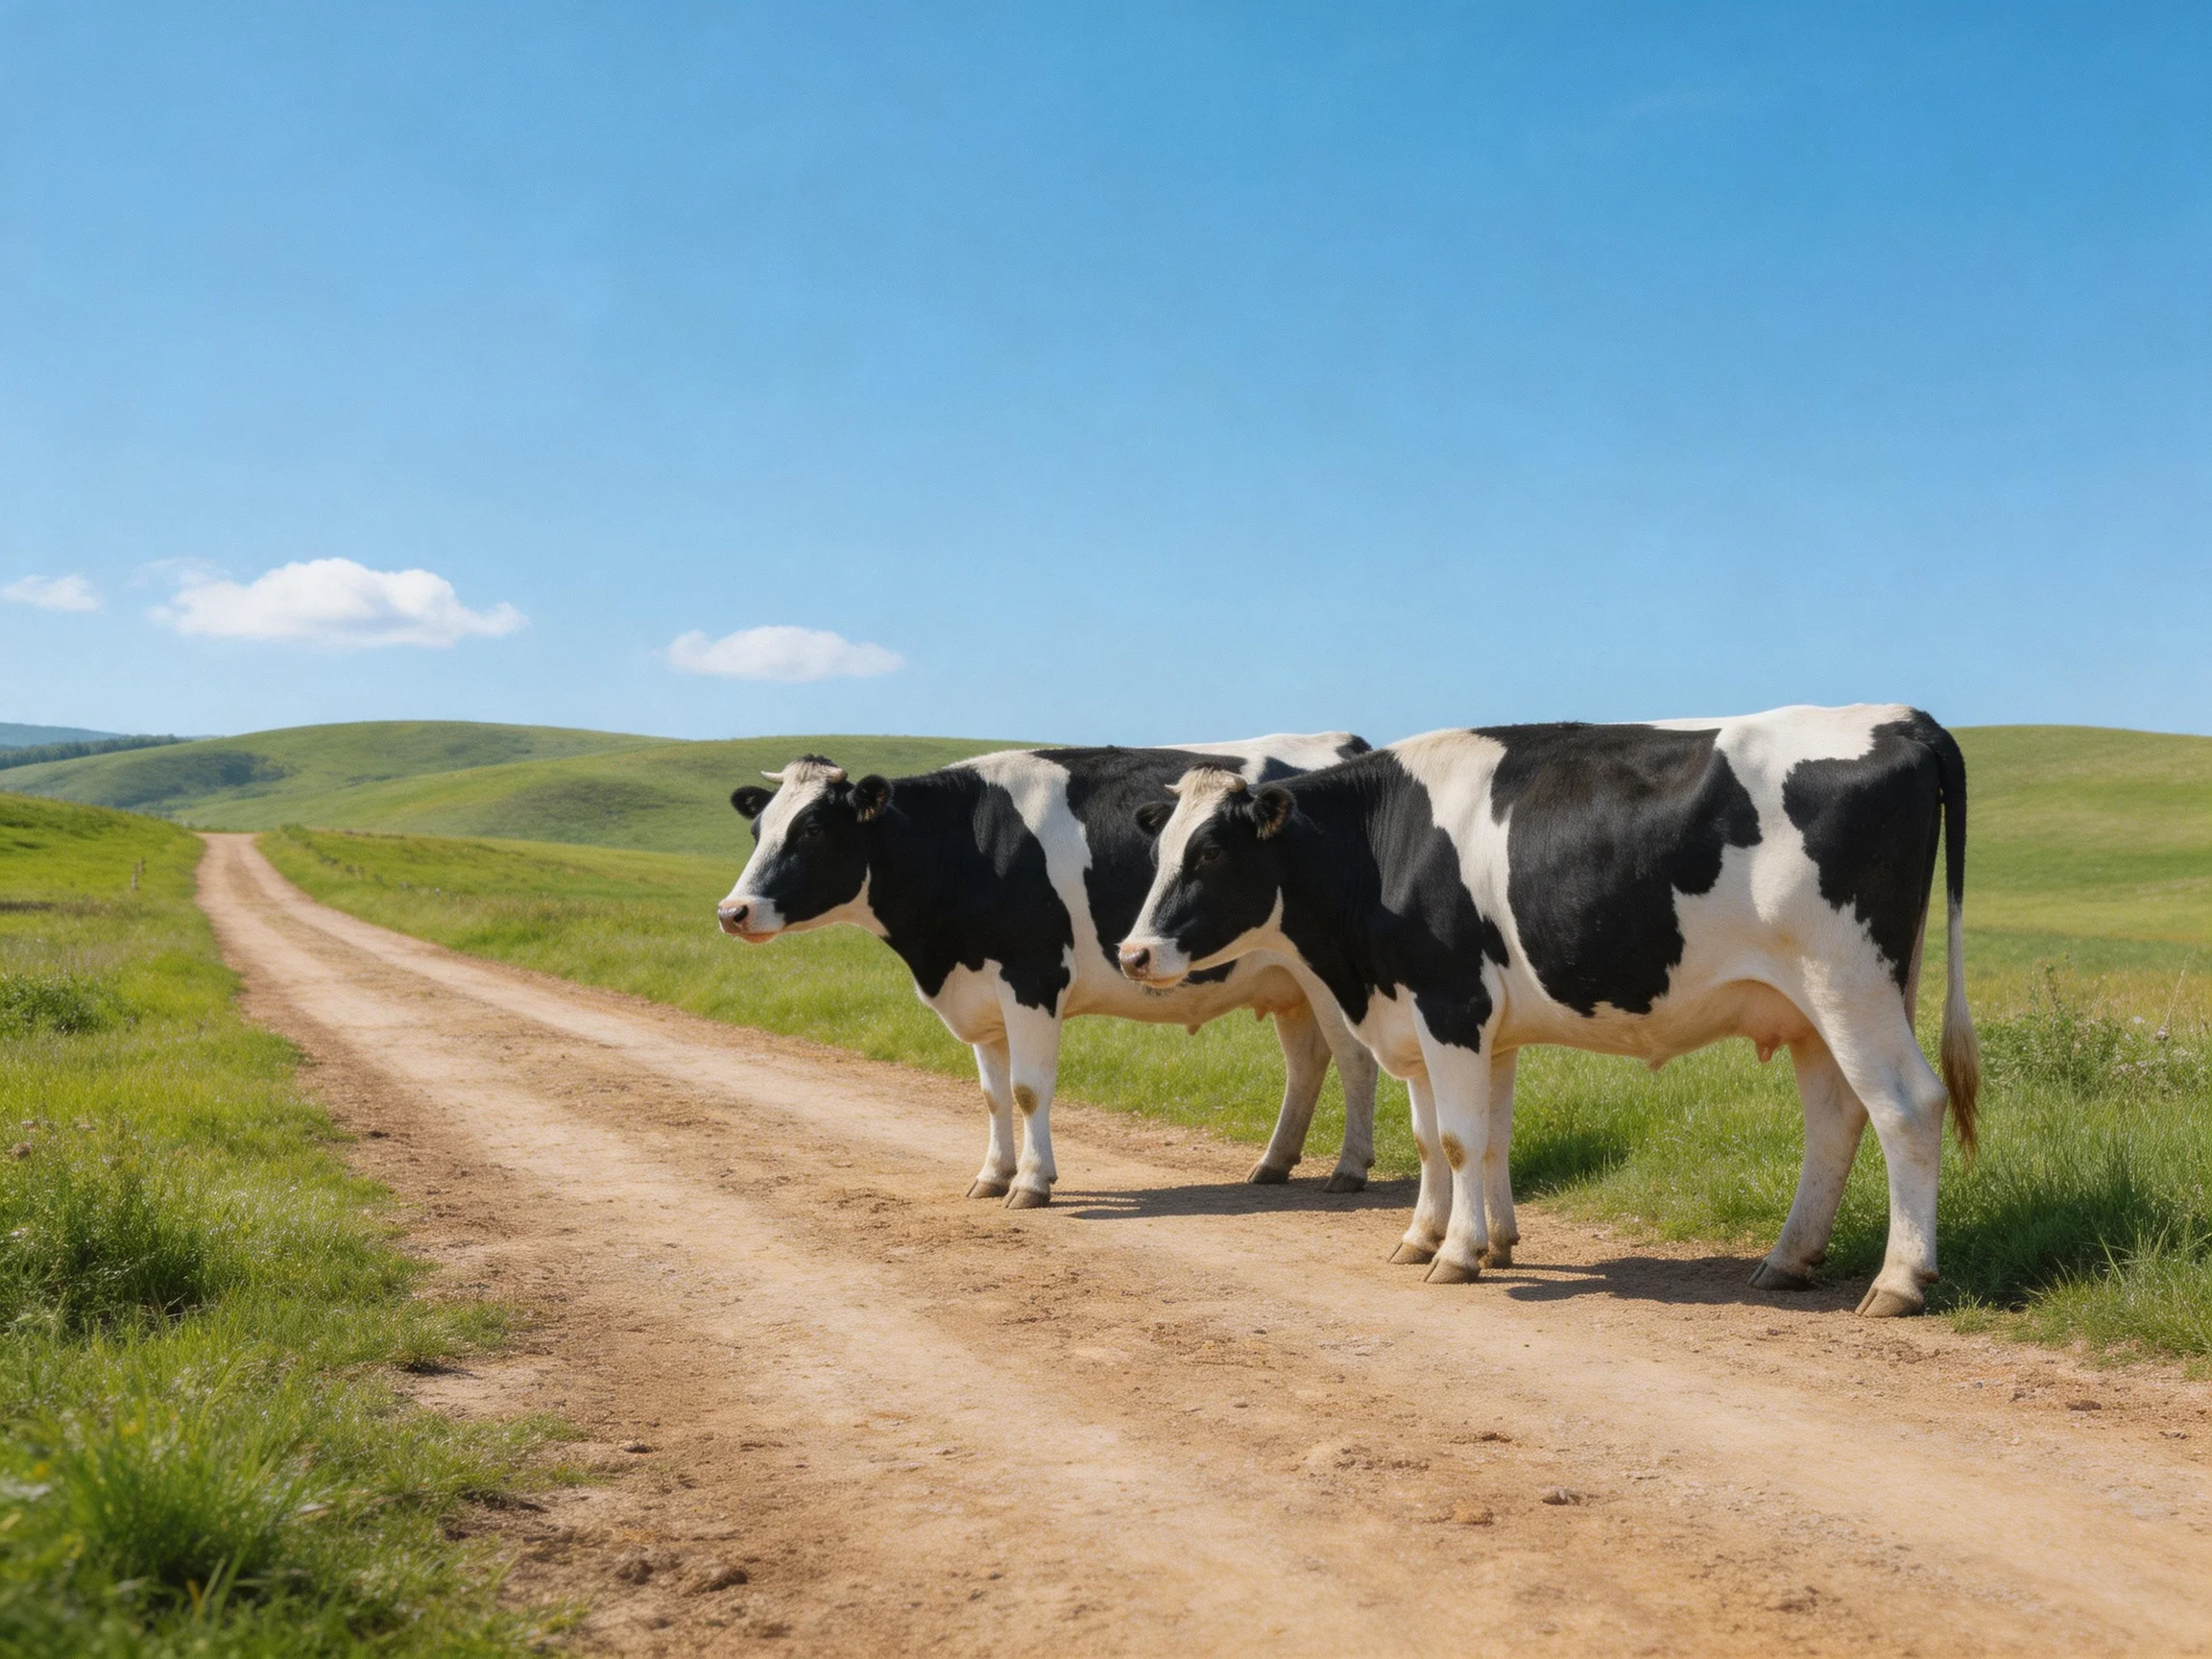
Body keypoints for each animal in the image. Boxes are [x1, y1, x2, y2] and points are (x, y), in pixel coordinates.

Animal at [715, 737, 1383, 1209]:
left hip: (1329, 976)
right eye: (756, 828)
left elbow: (1028, 1088)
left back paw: (1349, 1169)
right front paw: (992, 1174)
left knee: (1354, 1060)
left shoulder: (1031, 977)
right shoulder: (980, 991)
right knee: (1307, 1062)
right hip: (1289, 982)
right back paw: (1273, 1164)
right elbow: (992, 1093)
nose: (731, 911)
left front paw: (1031, 1183)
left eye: (812, 828)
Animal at [1118, 705, 1980, 1318]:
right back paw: (1787, 1260)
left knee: (1907, 1105)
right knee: (1836, 1117)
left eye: (1211, 853)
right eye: (1158, 854)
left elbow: (1460, 1141)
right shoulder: (1443, 1020)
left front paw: (1457, 1255)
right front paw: (1449, 1238)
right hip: (1818, 1005)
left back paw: (1899, 1281)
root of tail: (1902, 716)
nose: (1133, 953)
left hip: (1849, 981)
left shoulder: (1450, 1004)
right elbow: (1452, 1139)